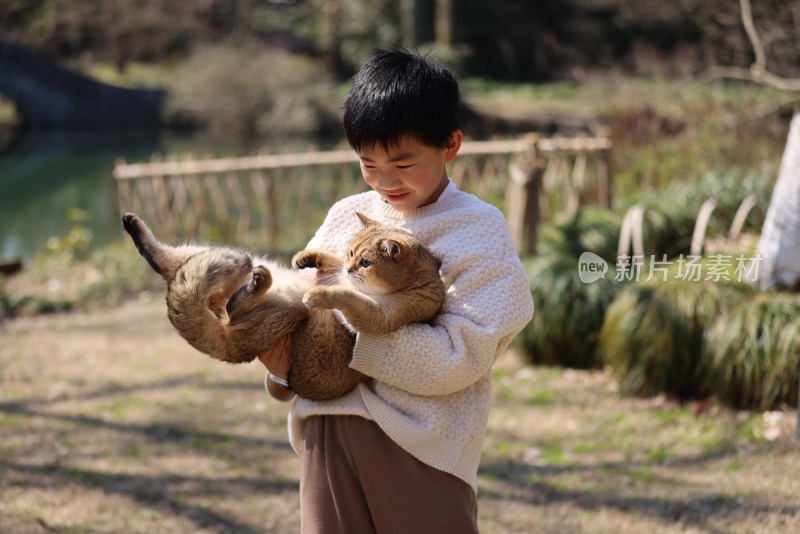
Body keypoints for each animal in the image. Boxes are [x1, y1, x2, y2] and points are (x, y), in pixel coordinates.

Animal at [122, 214, 444, 402]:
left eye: (366, 262)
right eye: (351, 252)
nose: (352, 268)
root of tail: (230, 349)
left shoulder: (379, 316)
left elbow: (347, 296)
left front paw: (320, 293)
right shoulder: (340, 271)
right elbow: (331, 264)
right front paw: (306, 257)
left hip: (287, 311)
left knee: (231, 306)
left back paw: (258, 284)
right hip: (202, 259)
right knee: (165, 262)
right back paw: (131, 223)